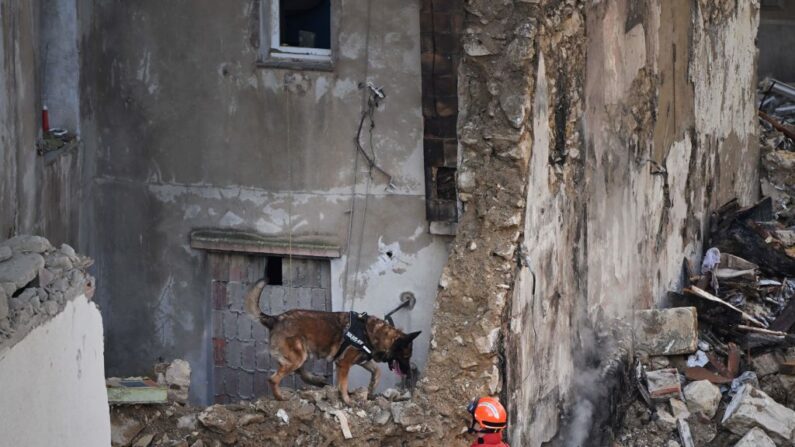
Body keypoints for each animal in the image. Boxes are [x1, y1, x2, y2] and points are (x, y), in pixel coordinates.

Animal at [246, 278, 422, 404]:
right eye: (406, 356)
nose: (408, 373)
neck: (373, 333)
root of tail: (275, 319)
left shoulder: (362, 361)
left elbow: (377, 371)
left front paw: (372, 387)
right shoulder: (344, 364)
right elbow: (343, 384)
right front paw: (347, 400)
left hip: (301, 355)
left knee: (300, 373)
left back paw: (317, 381)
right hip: (298, 356)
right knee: (274, 378)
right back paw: (280, 397)